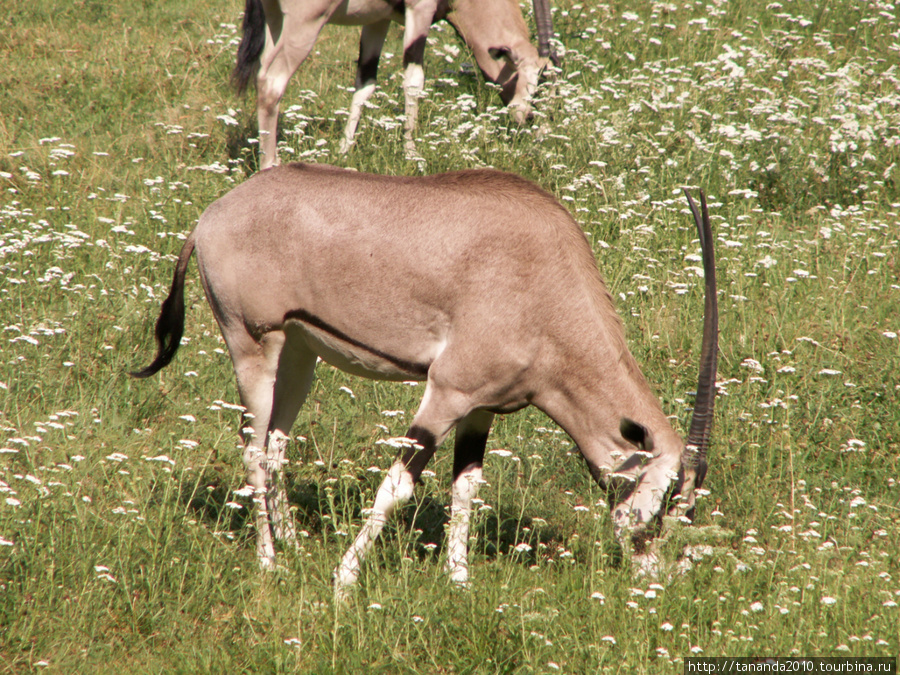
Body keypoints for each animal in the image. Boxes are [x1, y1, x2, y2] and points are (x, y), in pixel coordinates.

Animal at [130, 164, 716, 596]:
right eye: (667, 500)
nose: (656, 577)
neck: (546, 286)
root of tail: (212, 215)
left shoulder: (481, 408)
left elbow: (466, 488)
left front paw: (458, 581)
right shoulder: (447, 393)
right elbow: (398, 485)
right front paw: (344, 581)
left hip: (299, 354)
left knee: (276, 446)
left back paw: (293, 547)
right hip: (253, 345)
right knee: (253, 451)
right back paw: (270, 562)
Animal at [230, 0, 556, 168]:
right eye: (540, 81)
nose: (541, 133)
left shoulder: (377, 19)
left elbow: (365, 83)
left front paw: (344, 149)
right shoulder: (420, 10)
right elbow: (414, 80)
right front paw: (412, 153)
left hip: (275, 20)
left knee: (262, 73)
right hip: (305, 23)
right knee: (272, 83)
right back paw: (270, 165)